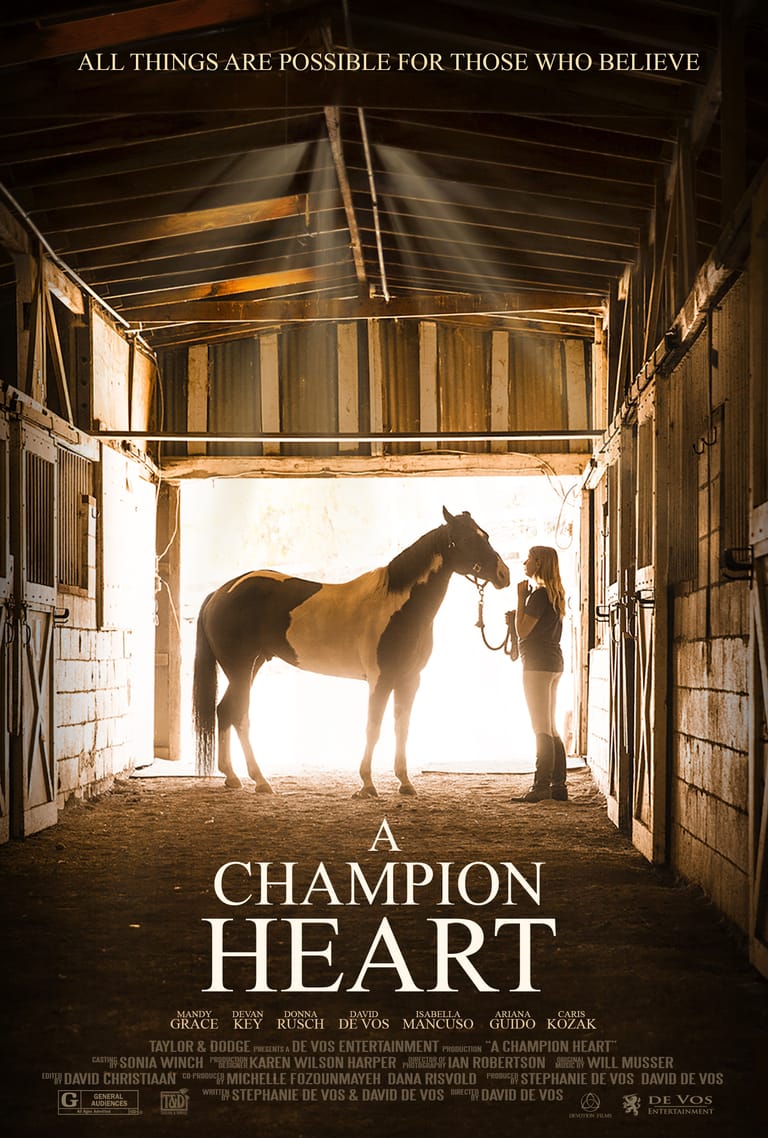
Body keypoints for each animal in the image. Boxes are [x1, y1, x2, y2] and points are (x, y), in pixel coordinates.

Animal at [192, 507, 510, 797]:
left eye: (485, 535)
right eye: (467, 538)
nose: (503, 574)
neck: (397, 605)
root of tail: (219, 593)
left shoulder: (409, 680)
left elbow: (402, 728)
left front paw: (405, 782)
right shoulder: (380, 680)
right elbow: (373, 727)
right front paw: (367, 784)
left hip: (251, 666)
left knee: (226, 711)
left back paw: (233, 777)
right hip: (241, 669)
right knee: (239, 715)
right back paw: (260, 780)